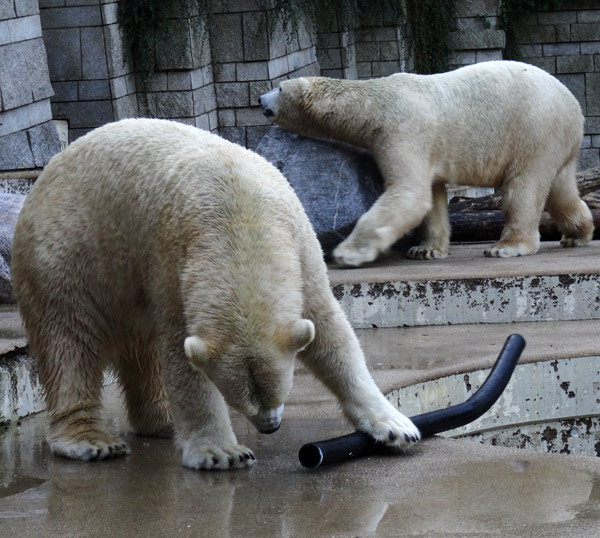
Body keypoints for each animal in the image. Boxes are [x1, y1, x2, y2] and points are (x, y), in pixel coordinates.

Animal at [11, 118, 420, 468]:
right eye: (241, 399)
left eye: (280, 391)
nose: (270, 426)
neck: (241, 220)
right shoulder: (174, 266)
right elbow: (182, 358)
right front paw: (221, 452)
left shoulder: (302, 252)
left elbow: (331, 333)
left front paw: (396, 426)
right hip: (67, 257)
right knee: (69, 342)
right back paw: (91, 441)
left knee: (140, 349)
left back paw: (162, 420)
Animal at [260, 60, 592, 266]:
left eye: (280, 88)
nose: (261, 100)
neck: (376, 101)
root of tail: (575, 105)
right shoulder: (427, 149)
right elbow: (431, 196)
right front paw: (425, 249)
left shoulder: (402, 130)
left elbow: (409, 194)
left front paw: (348, 253)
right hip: (556, 143)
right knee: (560, 190)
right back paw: (578, 234)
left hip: (533, 130)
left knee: (523, 188)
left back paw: (506, 247)